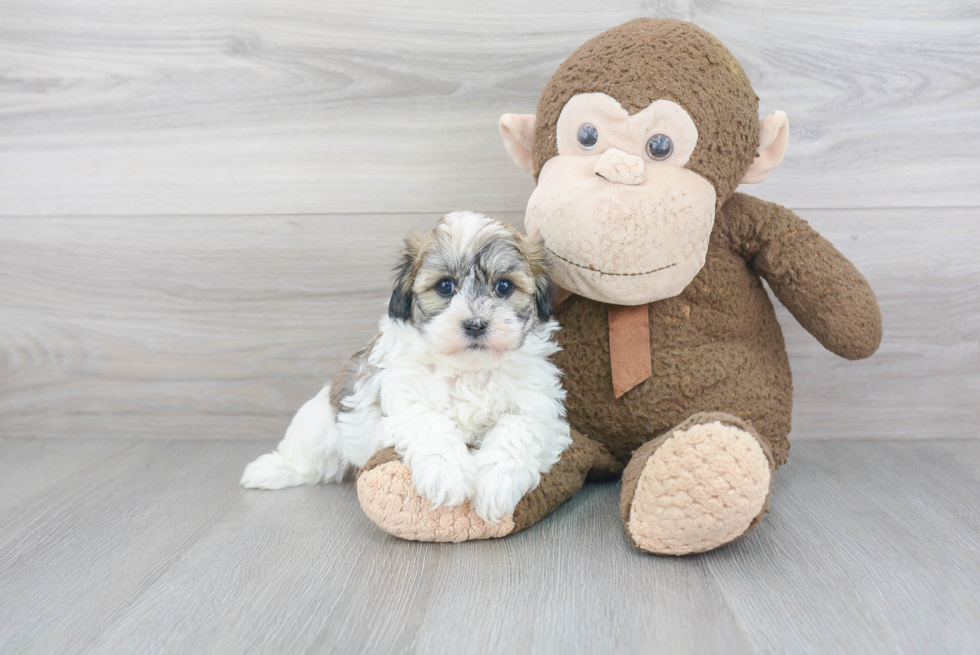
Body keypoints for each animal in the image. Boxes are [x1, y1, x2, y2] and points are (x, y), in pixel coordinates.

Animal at [240, 210, 572, 524]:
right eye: (444, 286)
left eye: (504, 286)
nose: (475, 324)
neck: (469, 369)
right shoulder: (405, 395)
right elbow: (429, 422)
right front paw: (446, 474)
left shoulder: (538, 408)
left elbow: (517, 429)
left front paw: (497, 483)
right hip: (321, 423)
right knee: (310, 455)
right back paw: (269, 470)